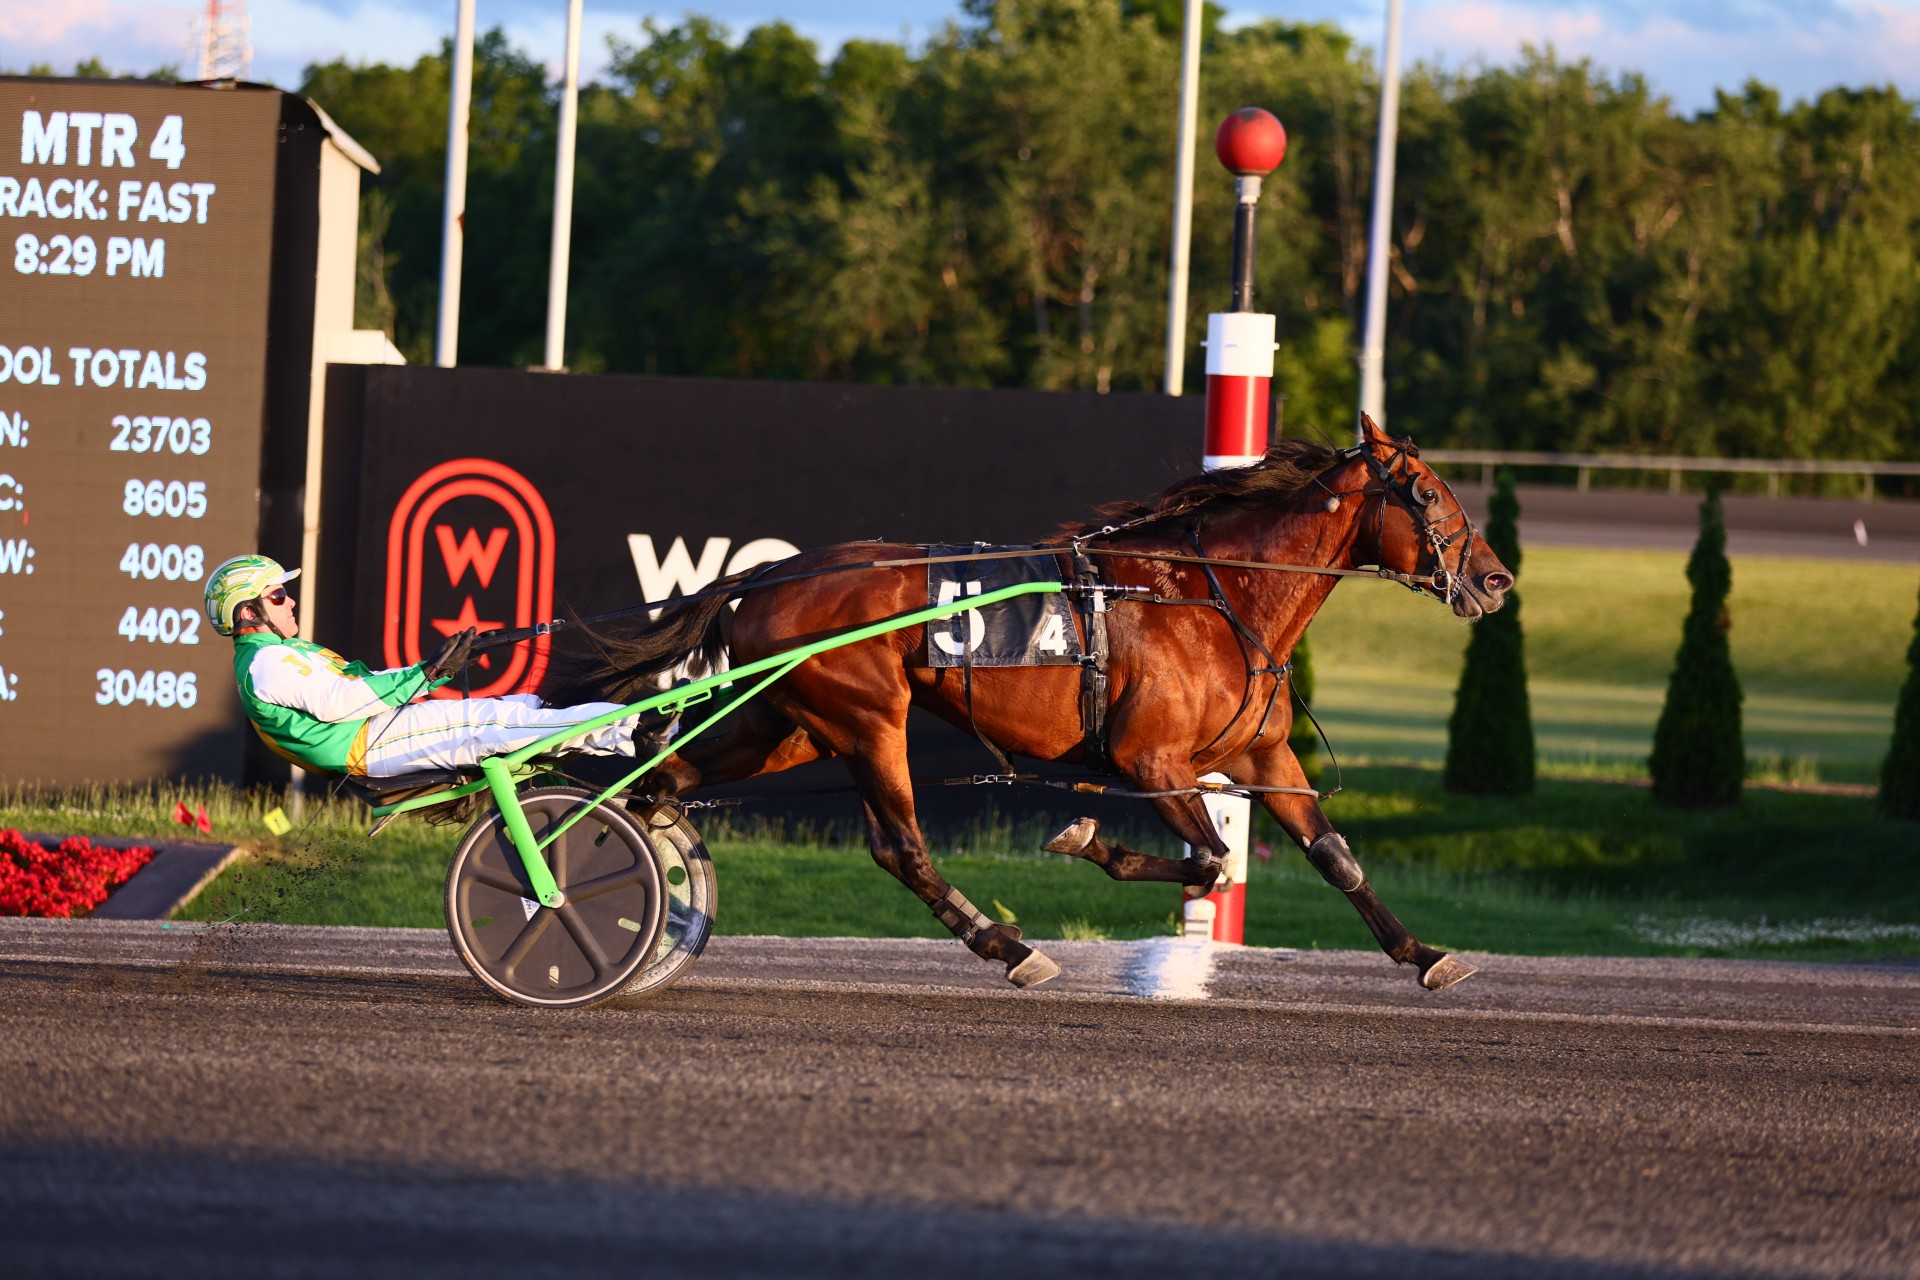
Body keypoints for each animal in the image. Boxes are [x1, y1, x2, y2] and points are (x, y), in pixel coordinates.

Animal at [587, 418, 1512, 990]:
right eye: (1428, 495)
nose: (1498, 579)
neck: (1214, 596)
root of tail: (773, 574)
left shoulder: (1262, 752)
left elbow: (1334, 857)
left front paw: (1424, 952)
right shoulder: (1151, 760)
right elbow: (1210, 858)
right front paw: (1083, 837)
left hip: (792, 726)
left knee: (665, 783)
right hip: (868, 718)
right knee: (901, 848)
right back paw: (1008, 945)